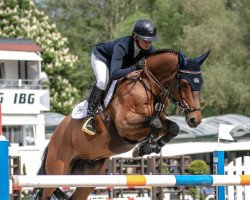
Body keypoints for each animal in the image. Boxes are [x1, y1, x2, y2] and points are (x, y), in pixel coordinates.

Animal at [32, 48, 210, 200]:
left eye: (200, 83)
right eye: (184, 84)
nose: (195, 119)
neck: (148, 87)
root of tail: (54, 136)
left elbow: (172, 127)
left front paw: (150, 147)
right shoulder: (125, 124)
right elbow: (155, 122)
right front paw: (145, 147)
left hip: (87, 176)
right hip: (57, 171)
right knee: (45, 193)